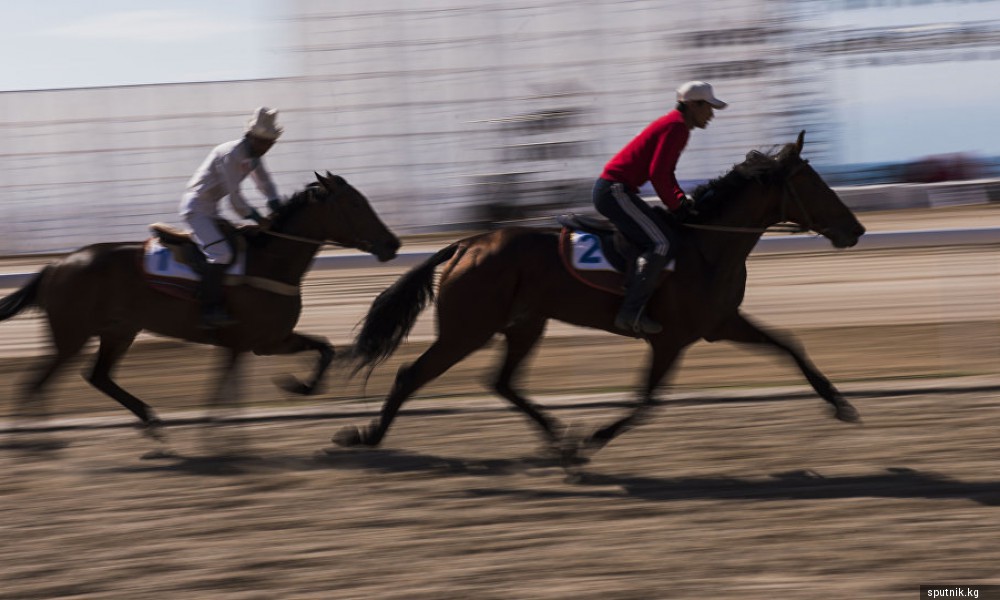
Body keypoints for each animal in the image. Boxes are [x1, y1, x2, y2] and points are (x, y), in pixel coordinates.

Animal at [0, 171, 398, 438]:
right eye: (356, 203)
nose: (392, 243)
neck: (268, 262)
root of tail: (57, 265)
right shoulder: (250, 343)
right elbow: (223, 393)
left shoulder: (269, 341)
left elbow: (325, 348)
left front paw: (296, 386)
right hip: (73, 335)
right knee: (34, 384)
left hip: (119, 331)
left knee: (96, 376)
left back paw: (150, 420)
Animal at [336, 132, 868, 460]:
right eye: (811, 182)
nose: (856, 229)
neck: (706, 245)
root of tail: (469, 244)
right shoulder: (670, 339)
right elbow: (647, 401)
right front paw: (596, 436)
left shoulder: (719, 324)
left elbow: (789, 346)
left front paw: (840, 403)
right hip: (469, 327)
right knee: (412, 374)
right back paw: (368, 436)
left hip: (523, 323)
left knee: (502, 382)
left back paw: (559, 441)